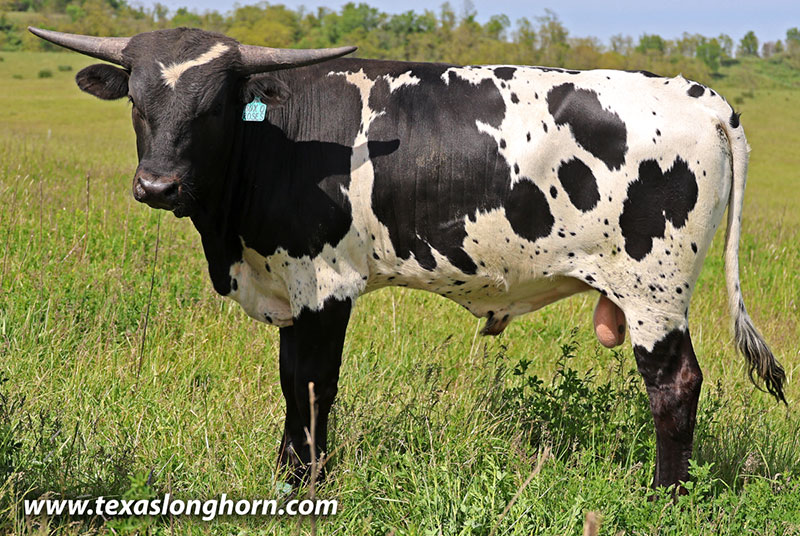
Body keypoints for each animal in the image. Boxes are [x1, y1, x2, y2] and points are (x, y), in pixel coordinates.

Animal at [30, 26, 786, 492]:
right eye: (137, 99)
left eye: (215, 105)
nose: (158, 185)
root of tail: (695, 93)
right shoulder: (289, 287)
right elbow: (290, 383)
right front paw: (286, 476)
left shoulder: (324, 285)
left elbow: (314, 384)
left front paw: (310, 482)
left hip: (653, 290)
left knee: (675, 386)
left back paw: (665, 496)